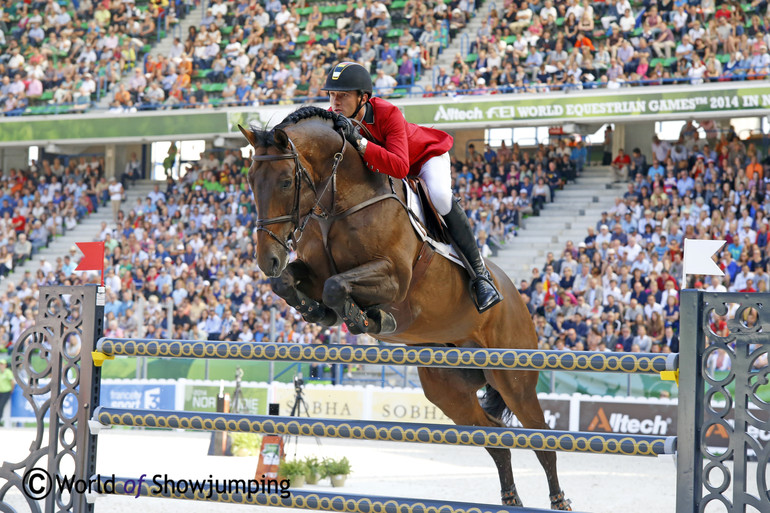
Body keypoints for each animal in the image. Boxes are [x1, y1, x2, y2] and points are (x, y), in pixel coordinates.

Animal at [238, 106, 568, 510]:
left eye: (286, 181)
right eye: (251, 180)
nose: (267, 259)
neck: (340, 200)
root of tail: (516, 295)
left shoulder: (395, 278)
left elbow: (336, 287)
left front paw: (368, 318)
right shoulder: (315, 271)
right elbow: (290, 283)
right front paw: (320, 312)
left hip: (514, 377)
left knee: (541, 441)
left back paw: (559, 501)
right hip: (448, 390)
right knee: (496, 439)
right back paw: (510, 499)